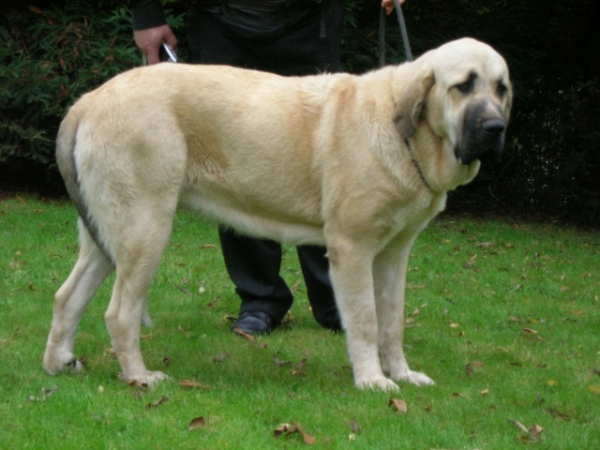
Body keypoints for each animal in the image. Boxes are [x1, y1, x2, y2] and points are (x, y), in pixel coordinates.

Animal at [43, 37, 510, 390]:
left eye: (501, 88)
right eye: (463, 86)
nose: (495, 129)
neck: (407, 135)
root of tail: (86, 102)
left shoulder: (394, 255)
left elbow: (391, 321)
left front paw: (403, 374)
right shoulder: (352, 249)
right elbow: (365, 321)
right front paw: (372, 381)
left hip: (108, 237)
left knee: (67, 297)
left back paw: (59, 363)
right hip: (145, 229)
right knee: (119, 313)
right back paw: (140, 377)